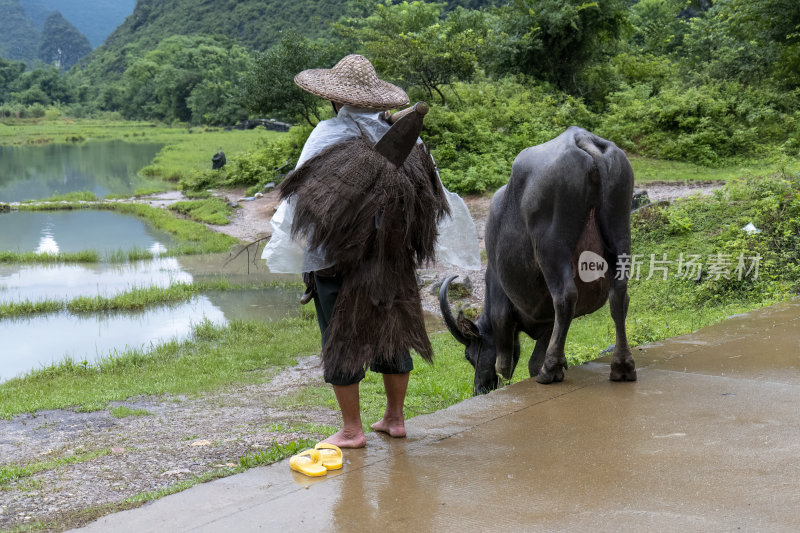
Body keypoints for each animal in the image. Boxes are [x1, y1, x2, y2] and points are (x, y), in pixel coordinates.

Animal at [440, 127, 636, 392]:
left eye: (469, 356)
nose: (479, 388)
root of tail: (580, 138)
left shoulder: (501, 305)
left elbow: (505, 363)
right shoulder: (546, 322)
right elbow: (534, 359)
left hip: (551, 247)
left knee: (565, 296)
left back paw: (550, 370)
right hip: (619, 231)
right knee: (619, 295)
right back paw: (622, 366)